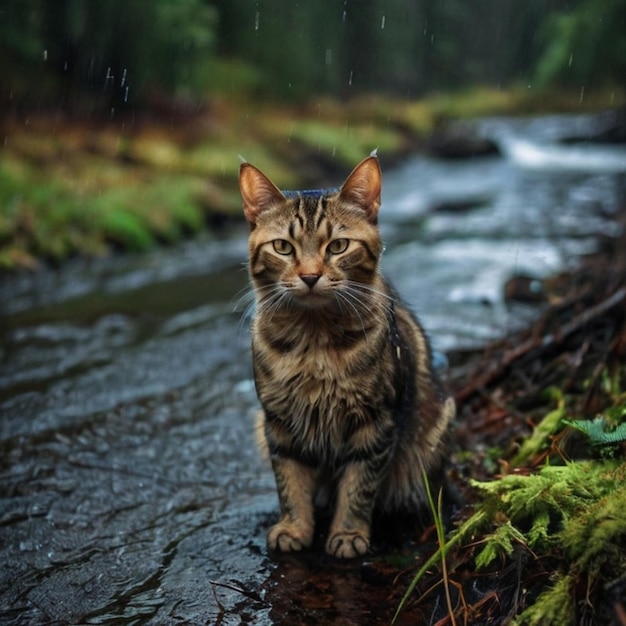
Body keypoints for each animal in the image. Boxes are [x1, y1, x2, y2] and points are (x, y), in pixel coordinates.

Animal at [239, 154, 454, 560]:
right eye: (283, 247)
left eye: (338, 246)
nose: (310, 276)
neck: (314, 342)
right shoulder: (278, 423)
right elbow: (290, 483)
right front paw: (295, 527)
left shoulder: (376, 423)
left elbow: (359, 487)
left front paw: (349, 533)